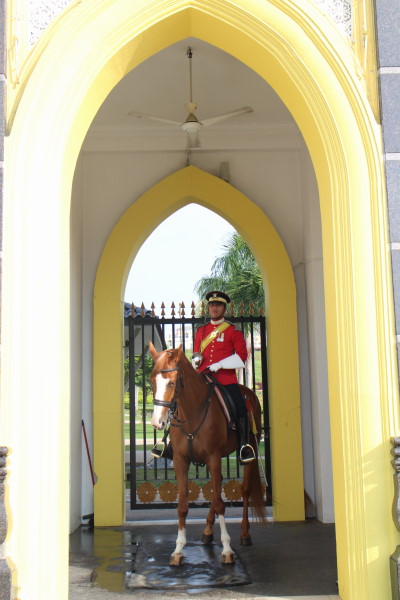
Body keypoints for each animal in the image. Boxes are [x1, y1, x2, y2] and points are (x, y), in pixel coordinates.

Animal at [148, 342, 266, 568]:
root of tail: (249, 391)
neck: (190, 412)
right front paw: (178, 550)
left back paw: (244, 533)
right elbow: (183, 505)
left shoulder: (213, 457)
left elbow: (221, 503)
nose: (157, 422)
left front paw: (227, 550)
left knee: (244, 490)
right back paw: (208, 530)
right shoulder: (181, 461)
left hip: (249, 451)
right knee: (215, 489)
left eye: (171, 383)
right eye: (152, 382)